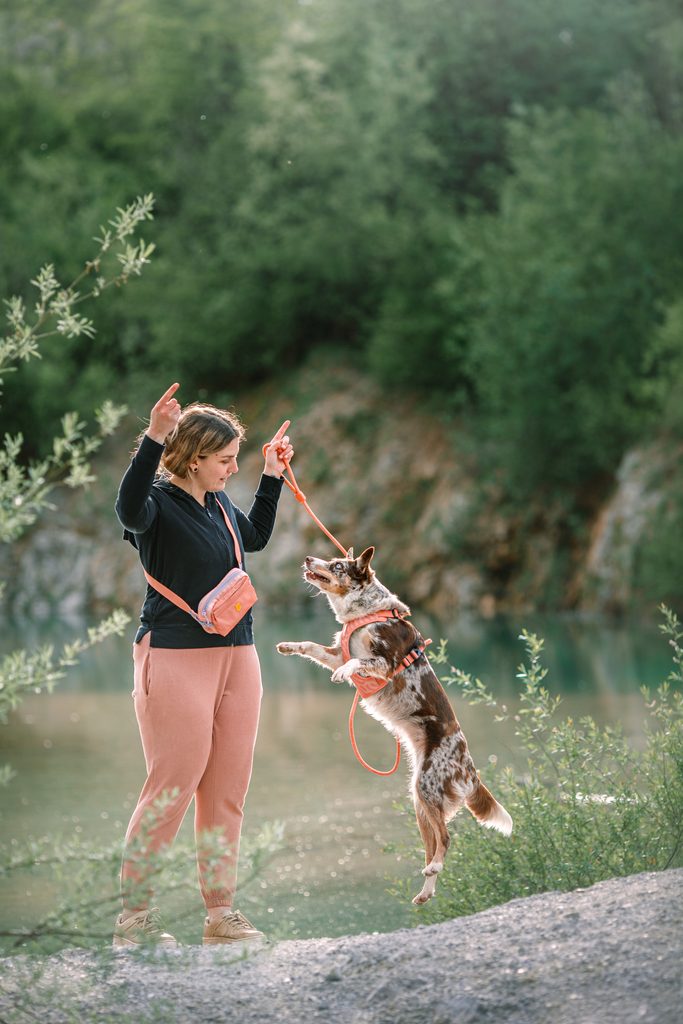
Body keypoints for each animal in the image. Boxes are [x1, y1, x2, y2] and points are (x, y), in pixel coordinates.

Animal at [276, 546, 512, 905]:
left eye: (337, 565)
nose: (307, 559)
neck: (365, 614)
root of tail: (471, 770)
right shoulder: (334, 652)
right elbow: (313, 647)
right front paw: (290, 646)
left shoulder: (383, 664)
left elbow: (355, 661)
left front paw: (344, 672)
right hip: (420, 801)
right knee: (433, 846)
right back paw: (426, 889)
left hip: (427, 786)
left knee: (446, 839)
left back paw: (433, 870)